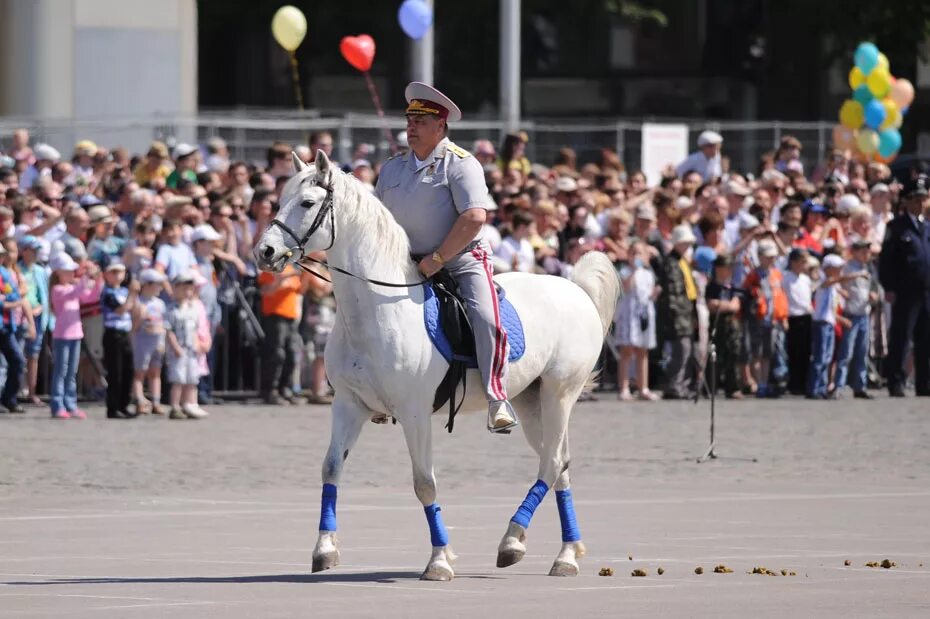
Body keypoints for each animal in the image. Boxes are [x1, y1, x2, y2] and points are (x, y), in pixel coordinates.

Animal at [254, 150, 616, 580]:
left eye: (307, 203)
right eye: (279, 201)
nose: (264, 252)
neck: (376, 310)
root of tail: (575, 290)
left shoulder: (415, 414)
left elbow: (424, 483)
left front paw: (439, 560)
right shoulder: (348, 405)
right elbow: (330, 469)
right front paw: (325, 549)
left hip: (559, 395)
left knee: (553, 463)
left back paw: (519, 542)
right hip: (532, 403)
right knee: (559, 465)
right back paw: (564, 550)